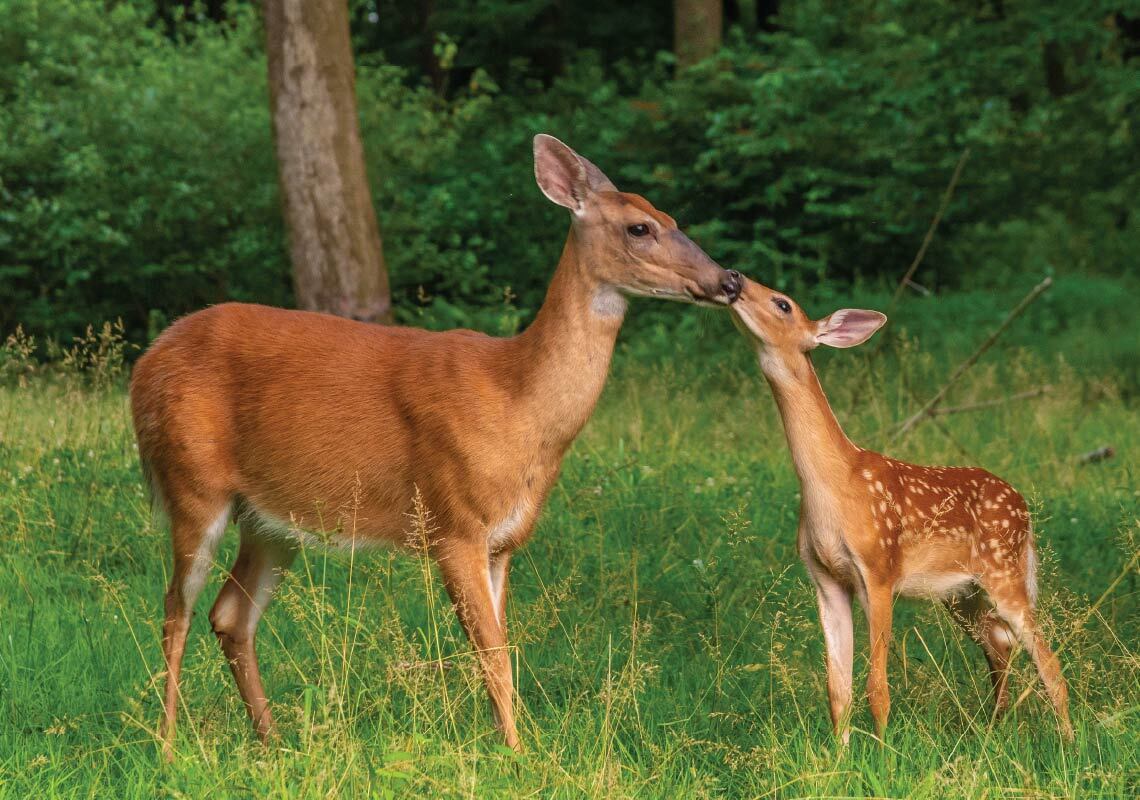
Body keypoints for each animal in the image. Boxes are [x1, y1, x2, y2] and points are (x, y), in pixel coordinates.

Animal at [130, 134, 744, 759]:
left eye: (674, 218)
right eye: (640, 227)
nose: (730, 281)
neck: (518, 403)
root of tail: (145, 364)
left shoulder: (502, 544)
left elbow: (500, 649)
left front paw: (505, 742)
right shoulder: (454, 523)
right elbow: (493, 653)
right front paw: (519, 754)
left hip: (272, 521)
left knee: (231, 615)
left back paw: (274, 741)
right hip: (192, 483)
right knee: (175, 610)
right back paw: (168, 744)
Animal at [729, 276, 1073, 743]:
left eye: (783, 304)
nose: (733, 279)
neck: (834, 485)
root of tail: (1024, 509)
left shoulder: (878, 568)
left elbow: (877, 685)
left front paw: (882, 752)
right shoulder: (826, 579)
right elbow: (837, 689)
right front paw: (840, 754)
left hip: (1005, 571)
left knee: (1048, 661)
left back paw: (1070, 742)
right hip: (962, 594)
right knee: (1000, 644)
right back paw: (991, 731)